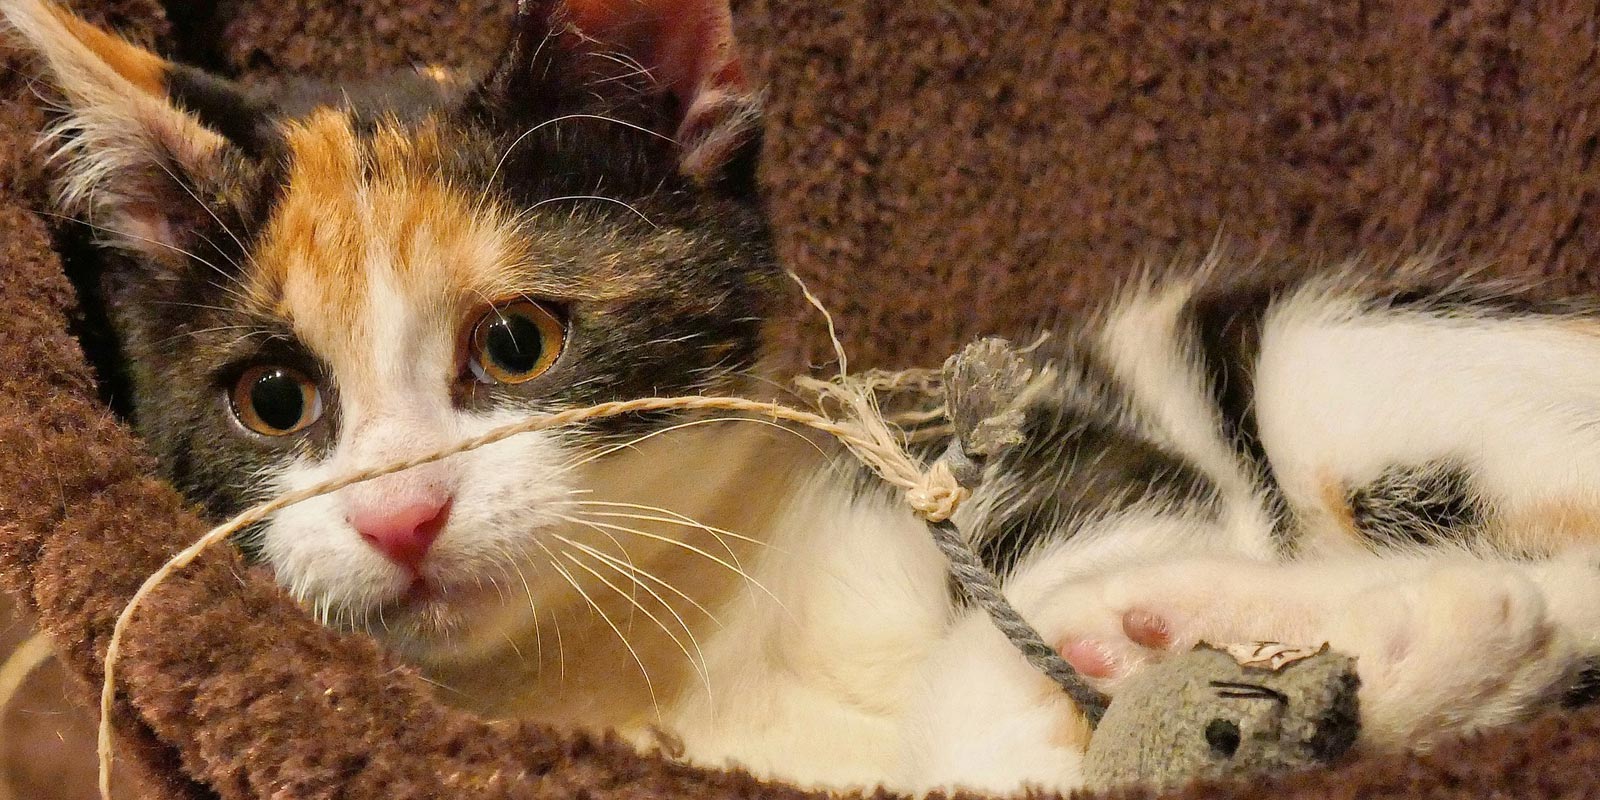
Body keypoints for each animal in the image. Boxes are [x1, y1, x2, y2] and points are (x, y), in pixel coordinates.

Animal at [9, 0, 1600, 793]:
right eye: (273, 400)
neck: (648, 657)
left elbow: (1054, 565)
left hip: (1336, 357)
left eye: (516, 345)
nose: (402, 515)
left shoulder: (1021, 437)